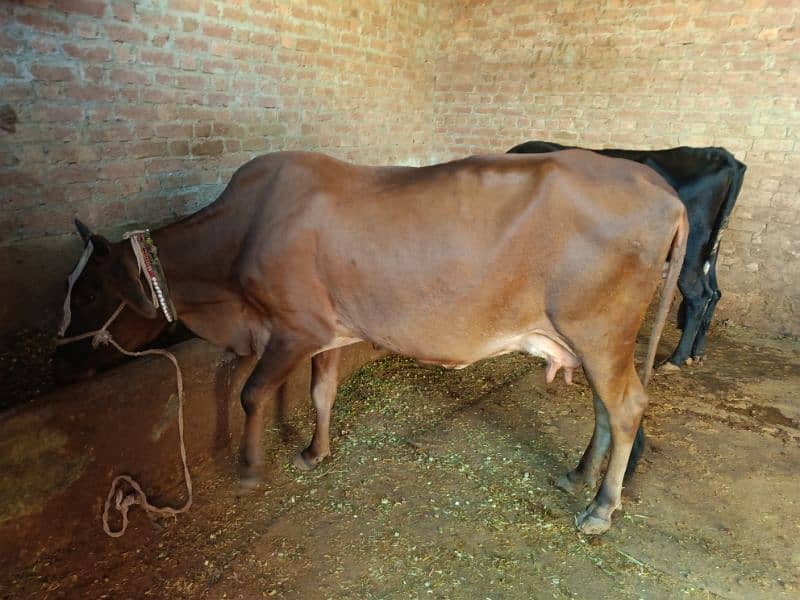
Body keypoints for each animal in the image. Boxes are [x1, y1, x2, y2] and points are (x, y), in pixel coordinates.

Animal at [57, 150, 688, 536]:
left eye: (86, 292)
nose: (62, 355)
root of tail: (662, 190)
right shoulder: (331, 330)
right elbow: (322, 393)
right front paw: (315, 452)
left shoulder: (295, 328)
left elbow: (251, 394)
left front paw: (251, 467)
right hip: (590, 339)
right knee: (604, 408)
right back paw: (579, 476)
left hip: (600, 331)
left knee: (626, 406)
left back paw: (600, 508)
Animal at [510, 143, 748, 368]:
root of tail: (723, 155)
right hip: (710, 248)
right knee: (714, 291)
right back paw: (696, 353)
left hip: (690, 250)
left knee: (698, 296)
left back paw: (676, 359)